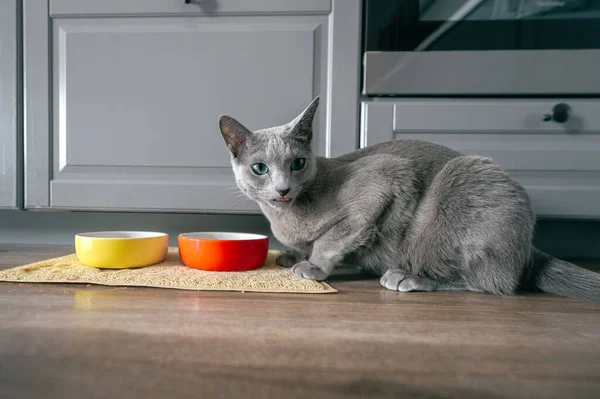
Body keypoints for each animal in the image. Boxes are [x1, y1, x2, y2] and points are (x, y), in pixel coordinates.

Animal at [218, 96, 600, 304]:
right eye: (260, 168)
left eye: (297, 164)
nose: (283, 188)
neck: (285, 215)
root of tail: (529, 246)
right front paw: (292, 255)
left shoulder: (385, 180)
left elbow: (333, 237)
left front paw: (312, 266)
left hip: (459, 185)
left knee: (491, 282)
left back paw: (407, 277)